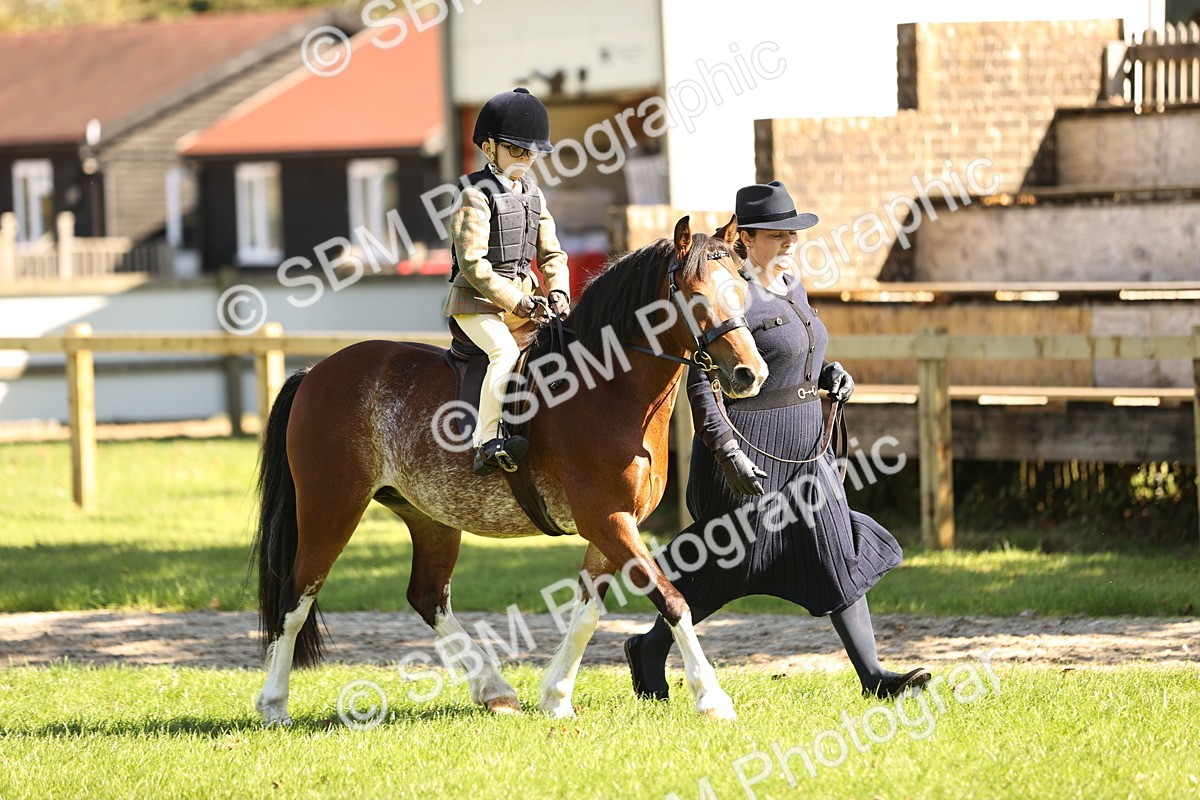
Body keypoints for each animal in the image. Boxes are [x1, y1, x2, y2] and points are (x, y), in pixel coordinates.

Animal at [252, 216, 768, 725]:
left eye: (741, 287)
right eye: (695, 293)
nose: (751, 374)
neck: (606, 388)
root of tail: (315, 372)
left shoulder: (613, 526)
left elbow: (587, 612)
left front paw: (556, 697)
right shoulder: (607, 520)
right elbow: (672, 600)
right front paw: (712, 699)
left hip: (431, 516)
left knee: (427, 596)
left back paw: (494, 690)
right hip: (330, 509)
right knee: (296, 599)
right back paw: (274, 704)